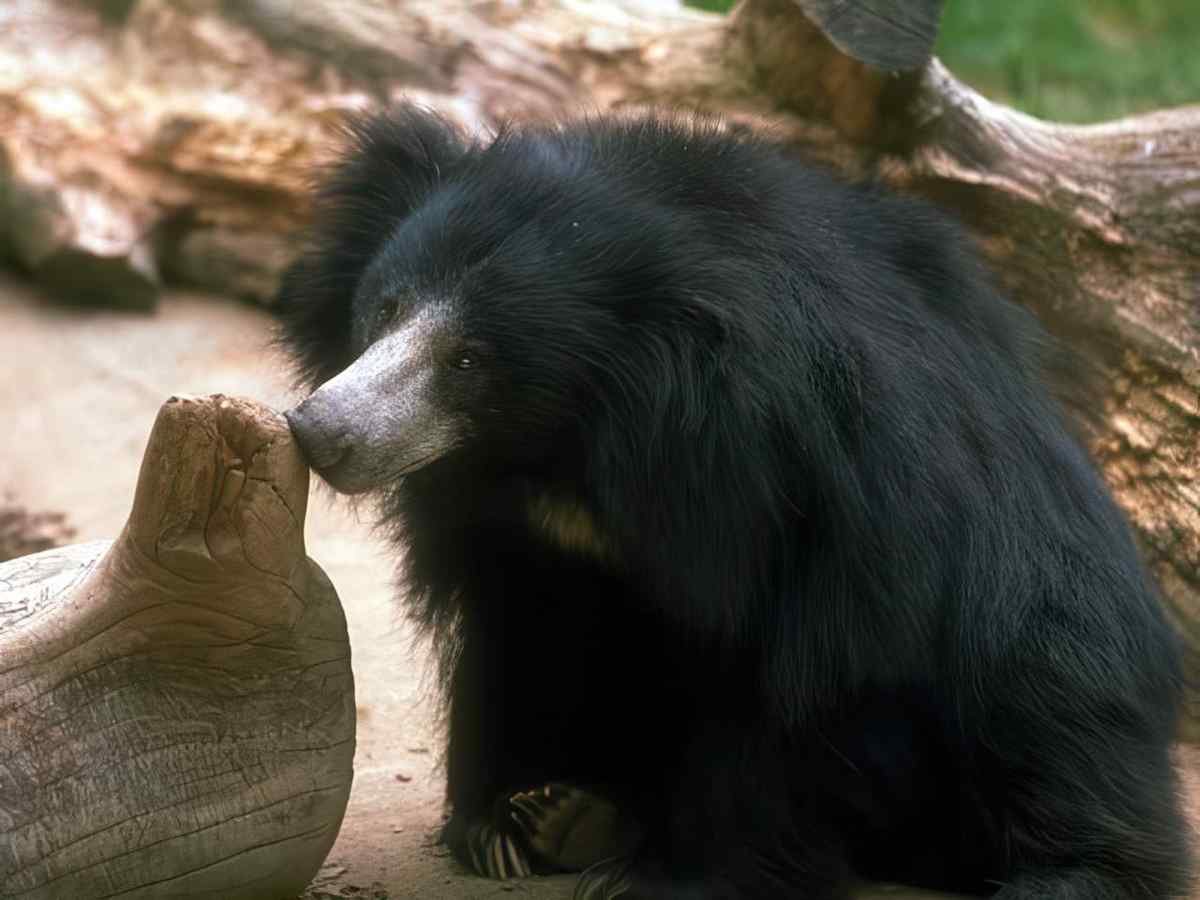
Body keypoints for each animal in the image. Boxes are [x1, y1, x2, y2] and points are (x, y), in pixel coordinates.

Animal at [277, 104, 1190, 899]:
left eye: (470, 360)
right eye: (386, 307)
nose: (323, 428)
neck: (579, 443)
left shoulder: (824, 503)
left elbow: (799, 684)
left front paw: (672, 878)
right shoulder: (521, 536)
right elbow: (513, 627)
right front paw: (500, 820)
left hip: (1052, 637)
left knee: (1055, 713)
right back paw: (577, 815)